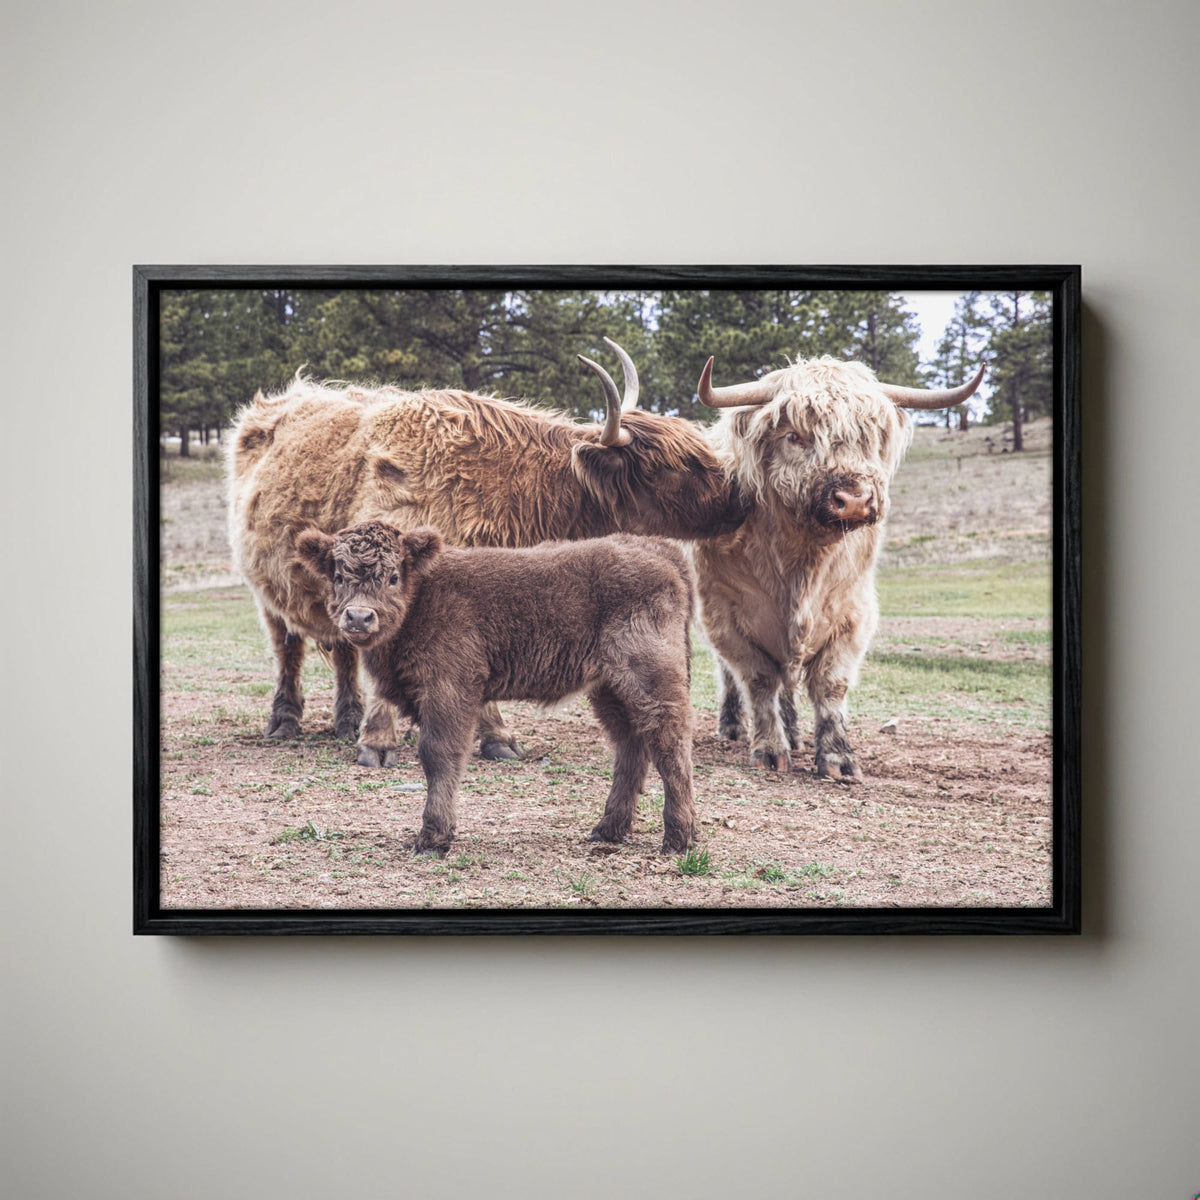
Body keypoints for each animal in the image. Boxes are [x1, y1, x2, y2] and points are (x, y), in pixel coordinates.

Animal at [226, 340, 747, 767]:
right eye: (672, 466)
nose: (739, 497)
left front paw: (493, 737)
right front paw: (378, 743)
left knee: (342, 653)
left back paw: (347, 719)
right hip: (270, 587)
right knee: (288, 647)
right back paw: (286, 720)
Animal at [295, 523, 698, 855]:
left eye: (393, 576)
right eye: (338, 574)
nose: (359, 617)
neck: (423, 596)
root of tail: (656, 547)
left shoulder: (449, 689)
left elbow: (438, 754)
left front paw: (433, 838)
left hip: (651, 679)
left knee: (669, 745)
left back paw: (679, 838)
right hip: (609, 689)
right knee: (631, 745)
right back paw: (609, 829)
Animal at [691, 354, 984, 781]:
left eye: (870, 436)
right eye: (794, 436)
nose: (855, 499)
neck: (802, 565)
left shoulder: (852, 614)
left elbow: (830, 685)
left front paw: (838, 758)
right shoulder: (725, 613)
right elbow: (758, 680)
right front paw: (769, 750)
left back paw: (795, 733)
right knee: (735, 676)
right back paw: (734, 727)